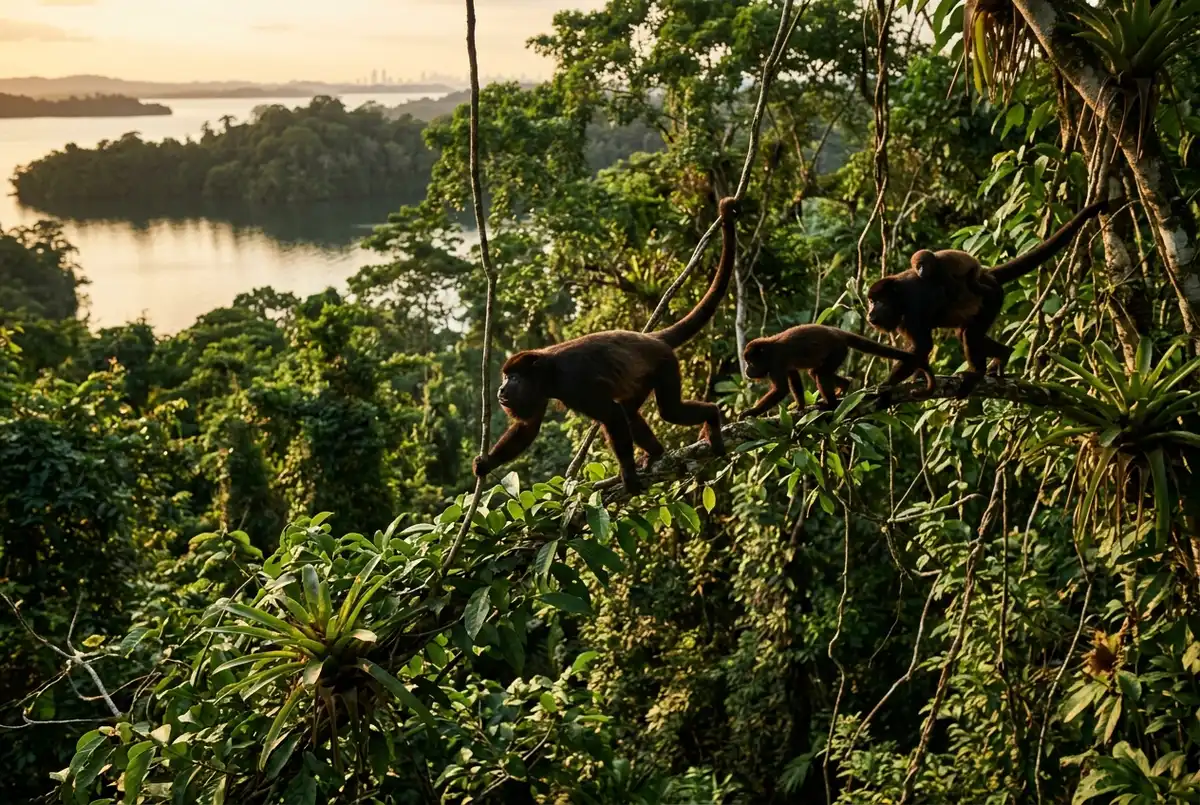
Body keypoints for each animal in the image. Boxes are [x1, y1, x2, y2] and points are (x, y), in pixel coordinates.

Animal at [472, 197, 740, 494]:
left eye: (514, 378)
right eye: (505, 377)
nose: (501, 389)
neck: (548, 374)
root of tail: (653, 339)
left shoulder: (575, 384)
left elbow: (611, 416)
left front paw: (628, 475)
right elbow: (527, 429)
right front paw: (486, 464)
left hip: (666, 364)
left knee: (667, 411)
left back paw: (711, 417)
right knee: (631, 412)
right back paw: (656, 454)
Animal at [739, 324, 934, 417]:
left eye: (750, 362)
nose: (747, 369)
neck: (767, 351)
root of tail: (838, 332)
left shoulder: (775, 362)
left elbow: (781, 390)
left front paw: (752, 412)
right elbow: (794, 378)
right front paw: (800, 406)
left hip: (838, 349)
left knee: (819, 373)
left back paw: (830, 404)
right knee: (816, 372)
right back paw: (844, 386)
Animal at [866, 199, 1109, 397]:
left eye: (878, 301)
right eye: (870, 302)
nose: (870, 313)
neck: (898, 297)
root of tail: (987, 275)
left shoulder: (912, 308)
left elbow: (923, 346)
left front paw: (886, 385)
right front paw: (918, 376)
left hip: (993, 298)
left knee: (969, 335)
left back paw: (977, 373)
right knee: (966, 333)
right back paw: (1003, 354)